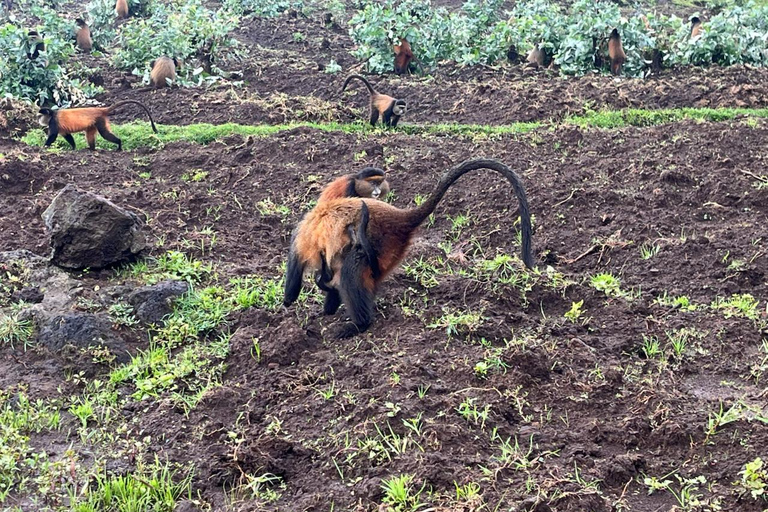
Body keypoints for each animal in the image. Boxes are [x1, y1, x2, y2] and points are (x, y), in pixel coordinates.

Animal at [284, 158, 534, 338]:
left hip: (383, 244)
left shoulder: (303, 240)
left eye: (378, 183)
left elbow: (297, 268)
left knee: (353, 266)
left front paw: (290, 300)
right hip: (388, 251)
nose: (376, 191)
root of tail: (399, 219)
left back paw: (360, 324)